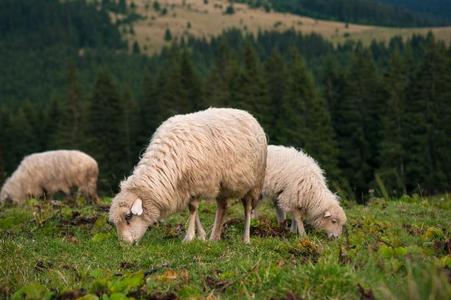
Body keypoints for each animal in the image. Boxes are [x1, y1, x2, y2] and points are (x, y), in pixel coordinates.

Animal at [108, 108, 268, 244]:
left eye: (128, 216)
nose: (124, 244)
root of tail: (248, 114)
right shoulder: (186, 187)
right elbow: (193, 210)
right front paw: (201, 236)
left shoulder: (197, 183)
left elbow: (192, 208)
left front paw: (189, 237)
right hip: (223, 185)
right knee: (222, 207)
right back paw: (214, 238)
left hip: (254, 183)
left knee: (247, 209)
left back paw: (246, 239)